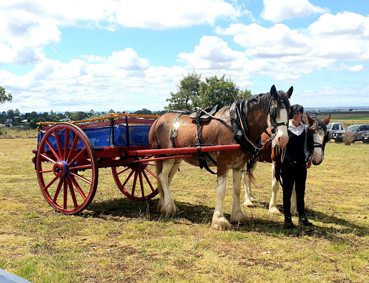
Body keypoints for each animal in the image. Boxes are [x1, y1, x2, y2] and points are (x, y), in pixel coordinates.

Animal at [148, 85, 292, 231]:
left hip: (177, 158)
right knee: (162, 177)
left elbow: (237, 190)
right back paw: (169, 207)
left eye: (290, 111)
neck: (238, 125)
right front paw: (219, 219)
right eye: (273, 110)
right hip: (168, 156)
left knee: (167, 178)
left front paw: (238, 215)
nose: (283, 139)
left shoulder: (238, 165)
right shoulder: (223, 164)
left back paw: (163, 204)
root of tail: (158, 120)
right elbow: (221, 191)